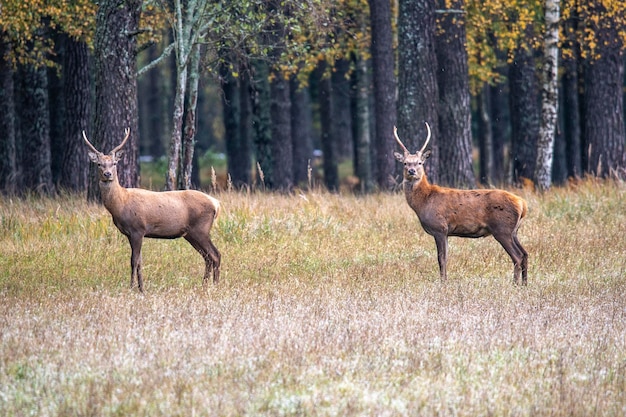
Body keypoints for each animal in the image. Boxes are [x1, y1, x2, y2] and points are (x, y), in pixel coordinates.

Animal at [81, 128, 221, 290]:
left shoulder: (138, 229)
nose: (107, 174)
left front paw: (131, 288)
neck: (121, 204)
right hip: (190, 234)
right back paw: (204, 286)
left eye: (114, 163)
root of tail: (215, 203)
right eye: (99, 164)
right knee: (207, 257)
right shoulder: (131, 234)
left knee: (215, 255)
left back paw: (214, 286)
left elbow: (133, 261)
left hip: (201, 229)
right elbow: (139, 261)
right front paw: (141, 289)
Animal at [392, 120, 524, 282]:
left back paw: (515, 284)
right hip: (514, 231)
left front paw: (443, 282)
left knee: (517, 257)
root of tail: (522, 204)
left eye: (419, 163)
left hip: (502, 229)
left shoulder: (440, 228)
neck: (424, 202)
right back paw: (524, 284)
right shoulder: (446, 232)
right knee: (525, 254)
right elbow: (445, 258)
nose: (412, 171)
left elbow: (441, 259)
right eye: (405, 163)